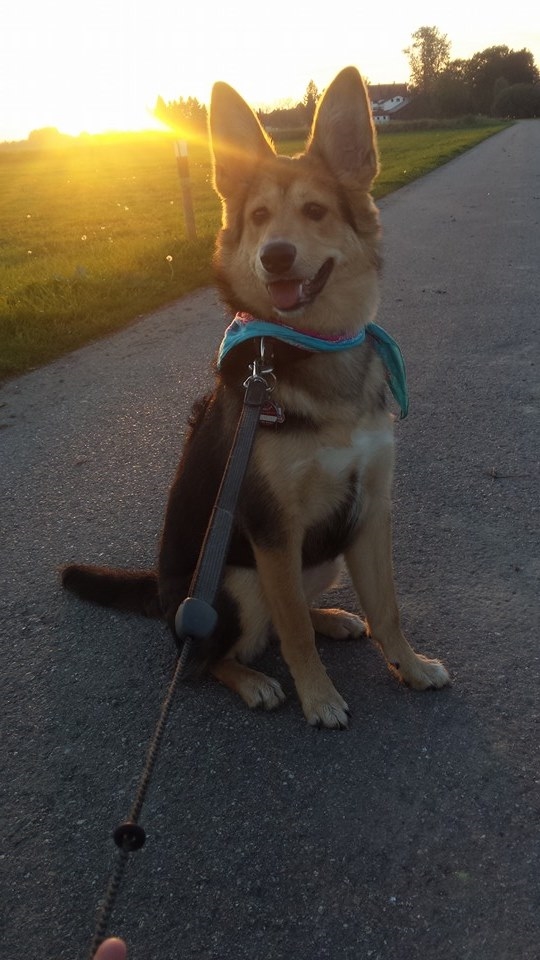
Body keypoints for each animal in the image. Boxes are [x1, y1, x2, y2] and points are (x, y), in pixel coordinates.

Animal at [62, 67, 452, 728]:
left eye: (316, 212)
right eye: (262, 216)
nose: (275, 255)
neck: (305, 349)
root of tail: (165, 597)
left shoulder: (370, 508)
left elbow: (387, 609)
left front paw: (412, 666)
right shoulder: (272, 528)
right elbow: (291, 630)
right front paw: (317, 697)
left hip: (322, 555)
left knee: (285, 614)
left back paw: (334, 619)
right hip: (231, 584)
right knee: (208, 654)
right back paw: (252, 681)